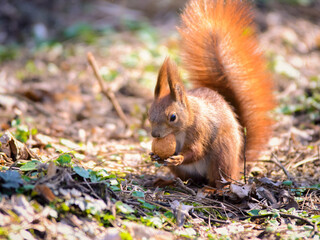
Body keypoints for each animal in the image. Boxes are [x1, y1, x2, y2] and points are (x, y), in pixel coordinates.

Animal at [148, 0, 276, 187]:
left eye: (173, 117)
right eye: (149, 115)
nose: (155, 135)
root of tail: (237, 164)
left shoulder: (200, 130)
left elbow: (196, 150)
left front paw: (178, 158)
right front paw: (155, 155)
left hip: (221, 155)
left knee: (219, 180)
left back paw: (213, 189)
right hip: (189, 171)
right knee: (189, 179)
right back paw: (167, 181)